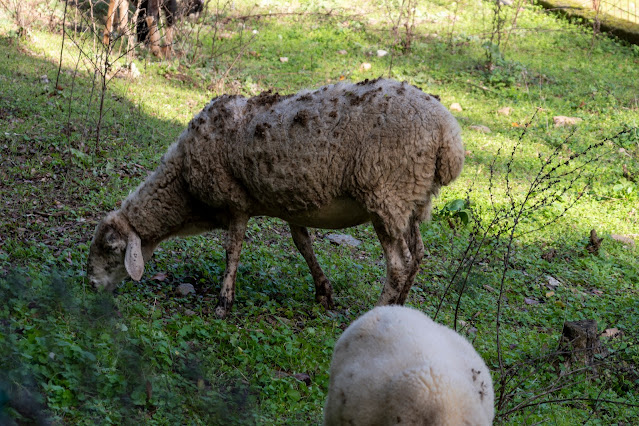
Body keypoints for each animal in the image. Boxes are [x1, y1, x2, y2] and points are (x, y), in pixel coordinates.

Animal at [86, 77, 464, 316]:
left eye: (110, 248)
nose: (89, 285)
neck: (183, 187)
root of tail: (448, 135)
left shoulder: (235, 203)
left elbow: (232, 250)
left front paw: (223, 304)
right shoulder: (293, 206)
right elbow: (303, 244)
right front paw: (323, 292)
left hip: (385, 193)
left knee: (399, 263)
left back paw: (378, 311)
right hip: (411, 198)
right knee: (418, 253)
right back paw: (399, 309)